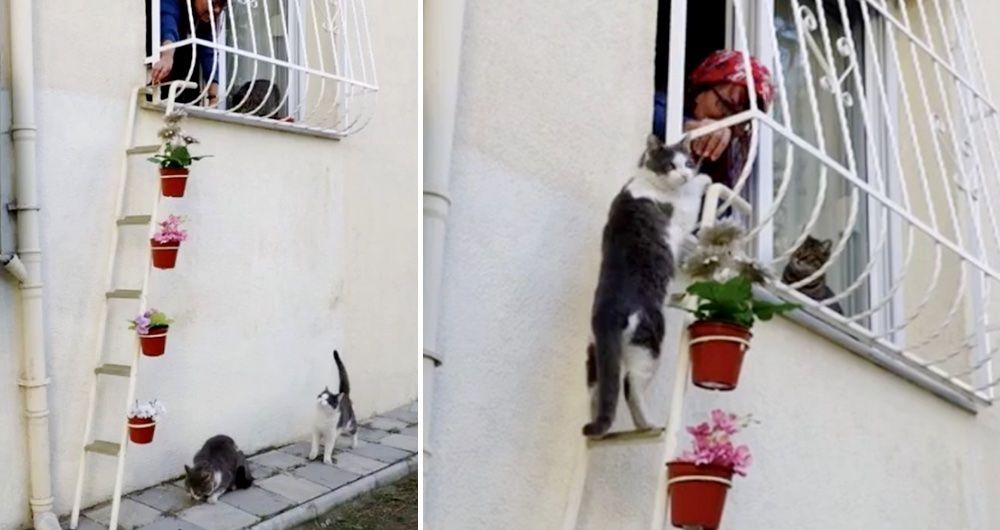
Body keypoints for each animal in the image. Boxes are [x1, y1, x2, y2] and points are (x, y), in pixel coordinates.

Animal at [584, 134, 716, 436]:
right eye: (671, 165)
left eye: (687, 161)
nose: (685, 173)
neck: (648, 180)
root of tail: (608, 312)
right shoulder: (681, 211)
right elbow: (692, 196)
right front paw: (703, 179)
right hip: (649, 343)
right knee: (630, 387)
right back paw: (648, 425)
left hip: (595, 357)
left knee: (599, 390)